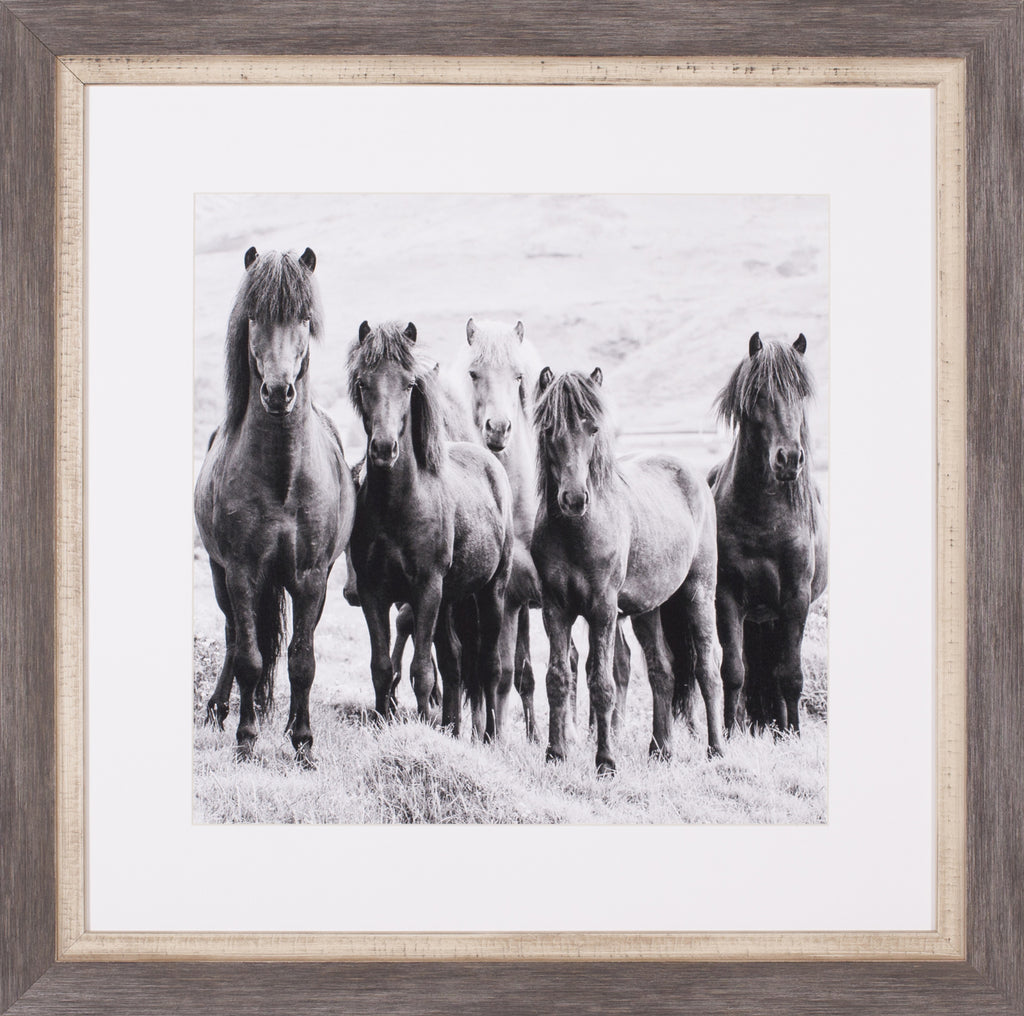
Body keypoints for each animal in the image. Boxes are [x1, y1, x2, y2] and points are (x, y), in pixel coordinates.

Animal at [194, 246, 356, 765]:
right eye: (254, 316)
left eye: (303, 317)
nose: (279, 391)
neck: (282, 480)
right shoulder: (242, 572)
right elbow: (250, 657)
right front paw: (246, 739)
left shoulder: (310, 579)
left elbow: (302, 661)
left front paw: (302, 742)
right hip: (219, 575)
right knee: (232, 637)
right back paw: (219, 710)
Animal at [346, 320, 516, 740]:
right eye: (362, 383)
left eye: (409, 384)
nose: (384, 448)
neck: (400, 504)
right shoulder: (374, 593)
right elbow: (382, 668)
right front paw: (384, 722)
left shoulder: (426, 589)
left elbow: (422, 671)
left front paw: (423, 725)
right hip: (451, 600)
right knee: (454, 663)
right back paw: (452, 728)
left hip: (491, 592)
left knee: (488, 666)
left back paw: (489, 736)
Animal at [531, 368, 725, 774]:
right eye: (549, 429)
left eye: (592, 428)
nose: (574, 499)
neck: (578, 532)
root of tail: (693, 476)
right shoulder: (555, 609)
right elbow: (558, 678)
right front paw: (555, 753)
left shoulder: (603, 611)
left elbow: (601, 683)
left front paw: (605, 761)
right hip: (647, 611)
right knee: (662, 671)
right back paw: (661, 749)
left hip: (699, 593)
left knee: (707, 668)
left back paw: (716, 749)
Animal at [708, 332, 828, 734]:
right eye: (759, 393)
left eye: (800, 393)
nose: (789, 459)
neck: (764, 521)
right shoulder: (727, 597)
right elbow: (733, 671)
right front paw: (729, 732)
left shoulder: (796, 598)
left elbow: (789, 675)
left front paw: (794, 734)